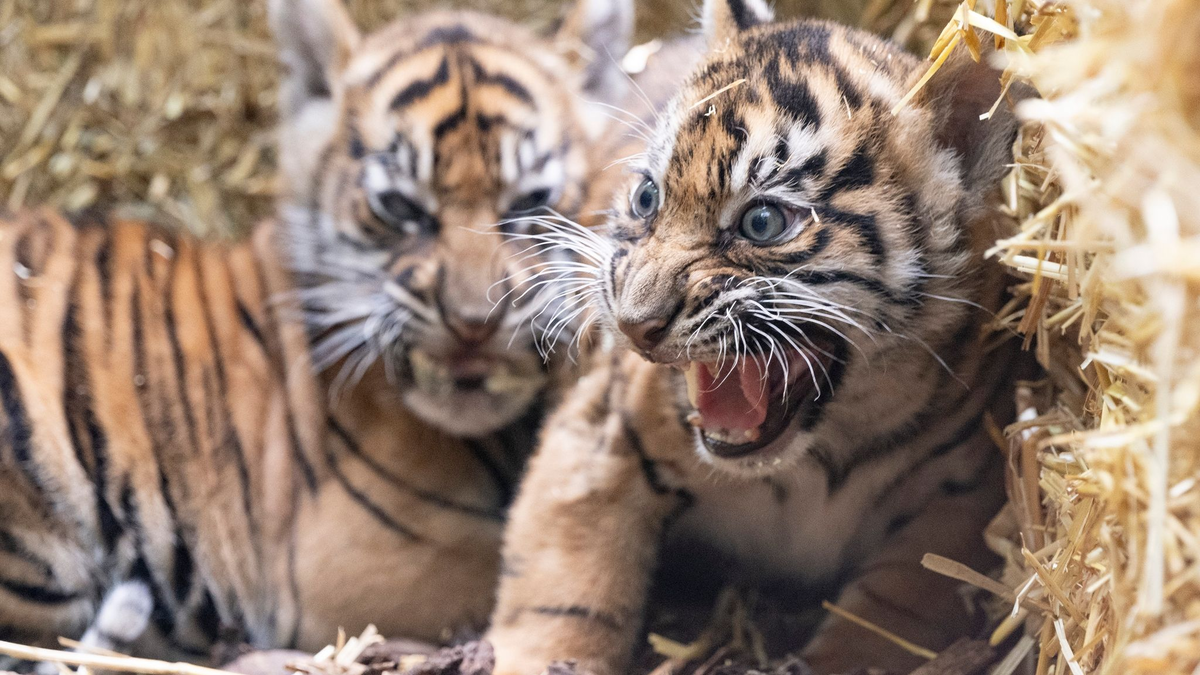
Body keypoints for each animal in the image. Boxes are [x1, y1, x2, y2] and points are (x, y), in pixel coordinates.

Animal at [485, 1, 1030, 673]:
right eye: (647, 198)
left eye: (763, 222)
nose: (634, 326)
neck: (812, 460)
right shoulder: (599, 435)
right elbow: (565, 590)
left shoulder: (957, 502)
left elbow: (886, 622)